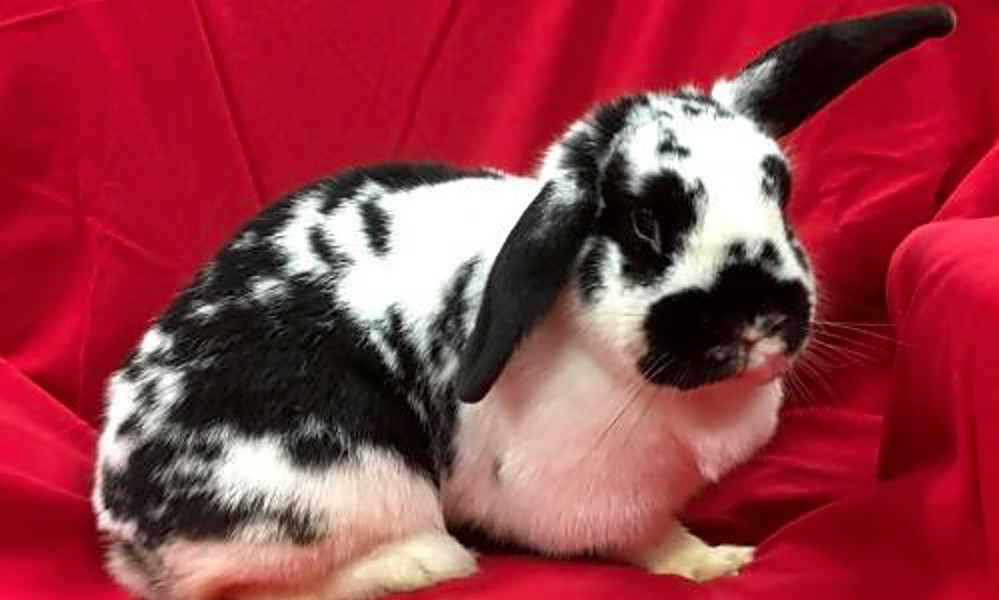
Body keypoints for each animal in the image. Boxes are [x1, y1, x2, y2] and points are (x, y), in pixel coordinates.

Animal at [92, 5, 954, 600]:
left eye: (779, 189)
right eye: (644, 222)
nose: (758, 320)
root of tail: (125, 525)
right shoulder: (595, 499)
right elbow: (647, 540)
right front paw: (711, 561)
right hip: (345, 479)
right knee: (241, 587)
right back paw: (425, 561)